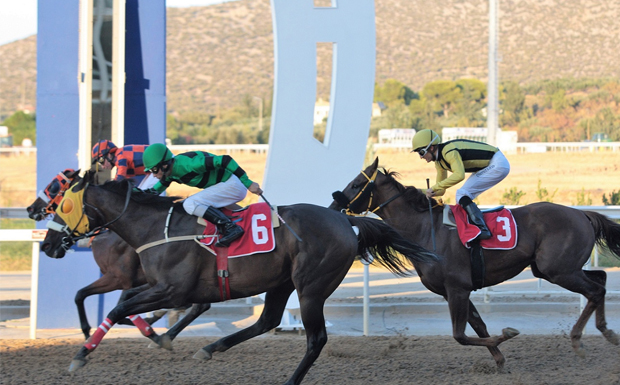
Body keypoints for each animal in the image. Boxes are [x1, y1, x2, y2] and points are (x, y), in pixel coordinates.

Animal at [41, 171, 436, 384]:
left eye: (64, 206)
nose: (47, 244)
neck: (156, 227)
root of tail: (344, 219)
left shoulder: (171, 290)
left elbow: (118, 309)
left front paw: (83, 354)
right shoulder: (155, 286)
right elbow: (120, 306)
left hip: (310, 287)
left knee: (316, 338)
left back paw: (289, 379)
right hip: (281, 282)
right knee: (267, 320)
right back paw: (210, 348)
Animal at [332, 156, 620, 366]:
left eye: (356, 184)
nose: (335, 206)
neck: (425, 229)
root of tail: (583, 215)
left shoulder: (458, 287)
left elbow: (460, 335)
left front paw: (506, 337)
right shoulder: (452, 291)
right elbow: (479, 326)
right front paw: (500, 358)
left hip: (558, 270)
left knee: (595, 290)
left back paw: (579, 340)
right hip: (555, 269)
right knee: (601, 279)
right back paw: (606, 331)